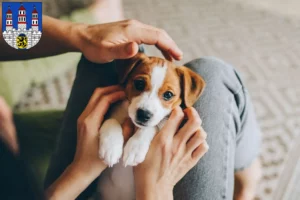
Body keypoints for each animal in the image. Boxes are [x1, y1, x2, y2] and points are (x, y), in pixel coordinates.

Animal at [97, 52, 205, 199]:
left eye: (168, 95)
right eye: (139, 83)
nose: (143, 114)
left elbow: (151, 127)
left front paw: (135, 148)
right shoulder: (112, 112)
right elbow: (111, 120)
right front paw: (111, 148)